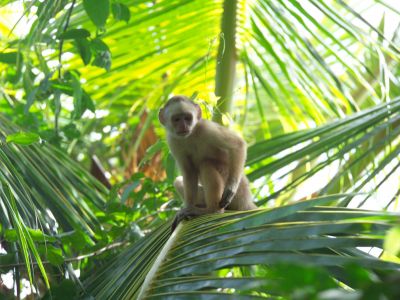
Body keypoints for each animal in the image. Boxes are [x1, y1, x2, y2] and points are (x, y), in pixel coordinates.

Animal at [159, 95, 256, 229]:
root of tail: (247, 200)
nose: (183, 126)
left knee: (206, 164)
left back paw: (212, 210)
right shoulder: (173, 140)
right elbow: (189, 172)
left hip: (239, 193)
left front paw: (231, 188)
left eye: (187, 118)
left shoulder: (207, 128)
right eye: (177, 119)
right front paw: (187, 207)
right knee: (179, 181)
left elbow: (237, 144)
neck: (190, 135)